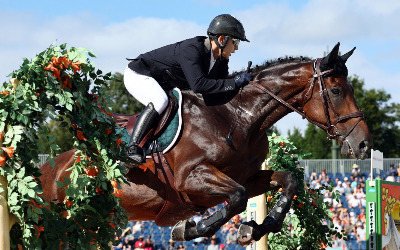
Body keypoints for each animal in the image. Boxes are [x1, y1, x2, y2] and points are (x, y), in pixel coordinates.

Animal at [39, 43, 372, 246]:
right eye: (337, 91)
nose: (365, 145)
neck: (240, 116)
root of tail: (47, 169)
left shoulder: (247, 177)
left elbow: (288, 180)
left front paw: (254, 228)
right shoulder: (191, 178)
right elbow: (236, 198)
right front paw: (189, 228)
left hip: (92, 226)